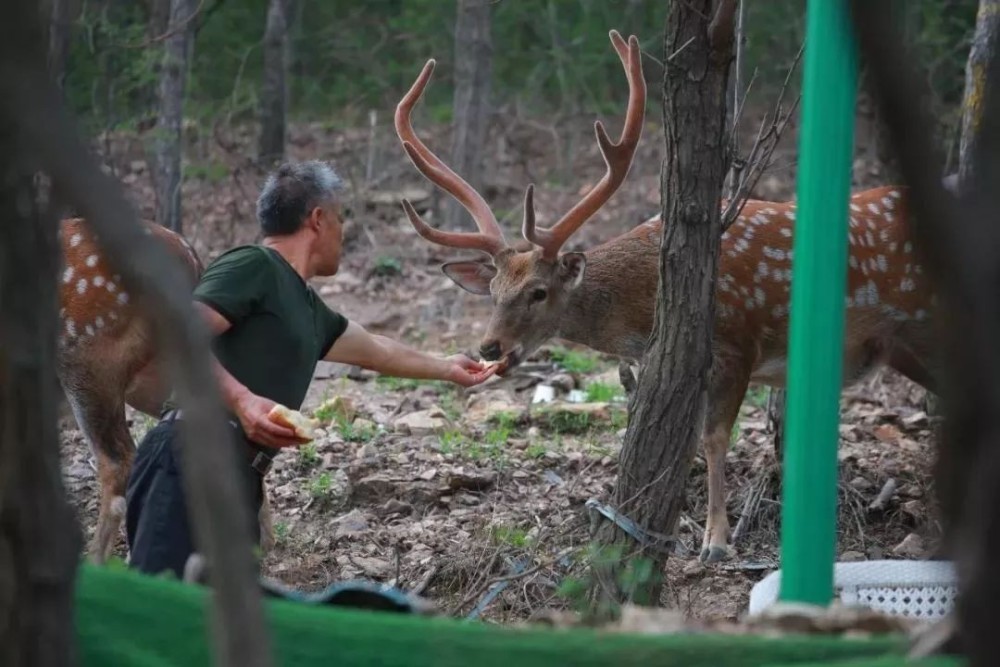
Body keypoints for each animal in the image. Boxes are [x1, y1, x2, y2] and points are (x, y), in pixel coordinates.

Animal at [388, 30, 936, 564]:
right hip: (905, 346)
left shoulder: (739, 342)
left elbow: (714, 438)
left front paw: (717, 541)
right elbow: (685, 440)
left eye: (538, 292)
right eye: (494, 291)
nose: (489, 347)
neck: (643, 305)